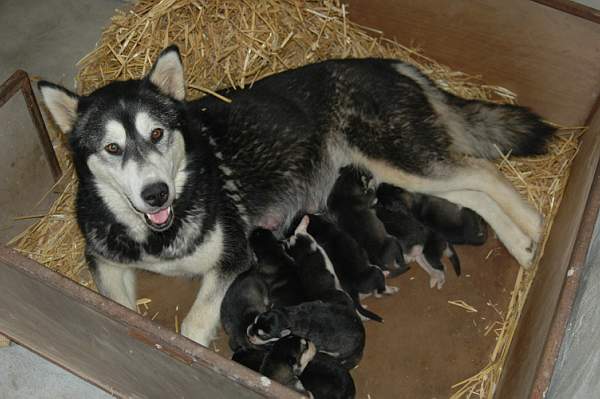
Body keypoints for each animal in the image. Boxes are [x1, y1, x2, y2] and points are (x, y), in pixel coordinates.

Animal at [36, 44, 552, 346]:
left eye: (158, 133)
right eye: (112, 148)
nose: (156, 194)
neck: (160, 233)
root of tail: (389, 63)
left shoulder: (233, 257)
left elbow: (195, 322)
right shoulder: (105, 262)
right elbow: (117, 308)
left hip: (399, 158)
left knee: (483, 173)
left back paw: (534, 233)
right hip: (396, 173)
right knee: (472, 191)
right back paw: (525, 239)